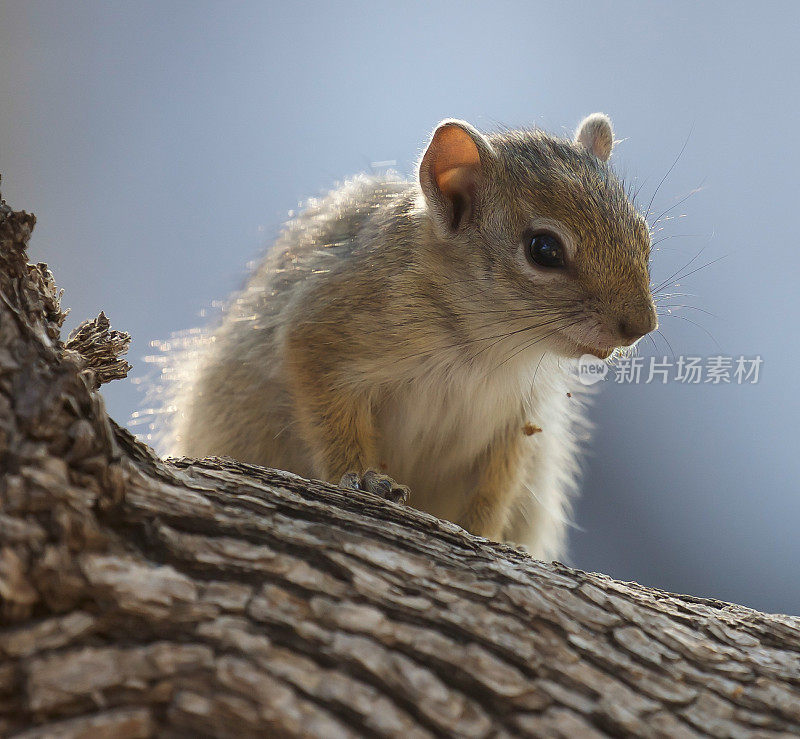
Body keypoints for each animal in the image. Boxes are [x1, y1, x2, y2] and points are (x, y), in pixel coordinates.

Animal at [169, 112, 656, 556]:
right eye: (544, 250)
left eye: (642, 232)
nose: (641, 326)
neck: (487, 344)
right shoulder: (326, 326)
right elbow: (329, 414)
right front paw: (364, 478)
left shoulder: (517, 415)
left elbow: (497, 483)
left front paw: (486, 532)